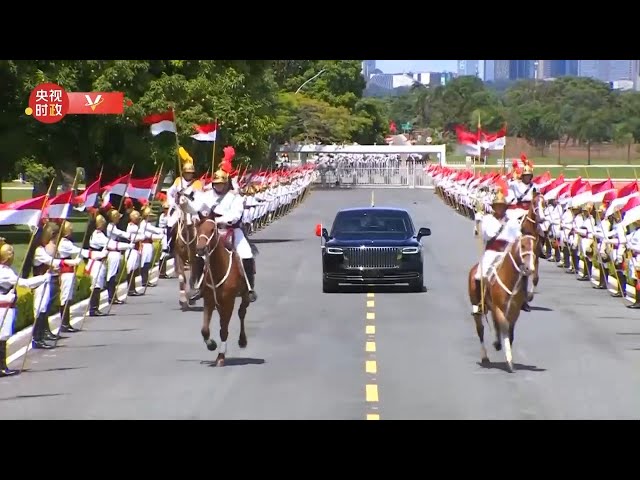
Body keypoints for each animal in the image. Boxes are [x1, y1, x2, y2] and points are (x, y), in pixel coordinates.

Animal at [194, 216, 251, 366]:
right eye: (198, 229)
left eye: (212, 230)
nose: (200, 249)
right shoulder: (209, 300)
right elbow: (205, 329)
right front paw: (211, 344)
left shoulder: (229, 301)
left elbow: (224, 330)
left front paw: (220, 356)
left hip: (244, 296)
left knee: (242, 313)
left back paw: (242, 340)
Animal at [468, 234, 536, 374]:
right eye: (523, 246)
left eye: (535, 246)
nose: (530, 268)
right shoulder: (498, 308)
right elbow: (504, 327)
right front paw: (509, 360)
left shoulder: (514, 312)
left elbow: (510, 332)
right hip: (478, 308)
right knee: (480, 330)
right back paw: (485, 356)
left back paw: (497, 343)